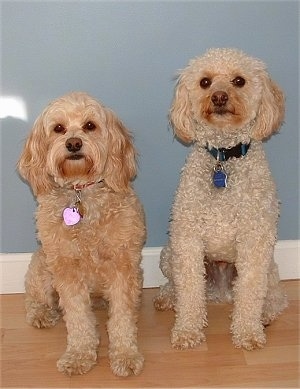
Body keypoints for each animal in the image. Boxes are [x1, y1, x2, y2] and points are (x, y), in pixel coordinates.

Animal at [17, 91, 146, 376]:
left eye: (90, 125)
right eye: (58, 128)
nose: (74, 143)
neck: (82, 194)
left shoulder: (123, 266)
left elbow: (122, 318)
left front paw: (125, 355)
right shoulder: (67, 270)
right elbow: (78, 319)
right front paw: (79, 354)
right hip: (43, 265)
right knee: (35, 296)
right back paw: (41, 313)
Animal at [155, 47, 288, 348]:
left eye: (239, 81)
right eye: (205, 82)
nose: (218, 97)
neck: (224, 158)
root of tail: (222, 293)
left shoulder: (255, 240)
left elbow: (250, 290)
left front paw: (248, 332)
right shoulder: (187, 239)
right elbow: (189, 290)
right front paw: (188, 330)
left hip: (270, 266)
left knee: (273, 295)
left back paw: (265, 313)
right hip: (169, 254)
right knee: (178, 285)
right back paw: (168, 298)